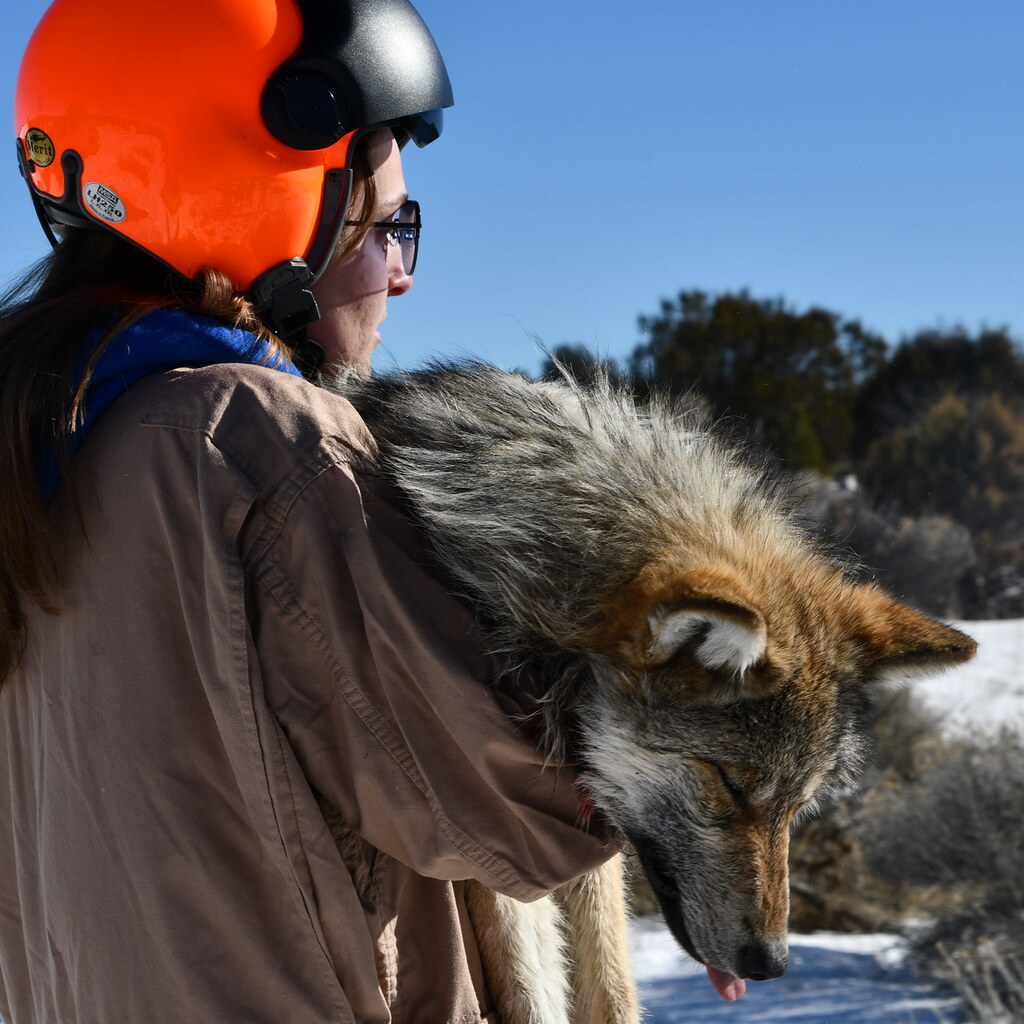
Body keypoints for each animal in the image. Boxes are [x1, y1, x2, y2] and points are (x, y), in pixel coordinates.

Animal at [333, 363, 976, 1023]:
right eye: (730, 786)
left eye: (798, 806)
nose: (771, 964)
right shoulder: (490, 842)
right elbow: (534, 990)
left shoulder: (584, 841)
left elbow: (613, 992)